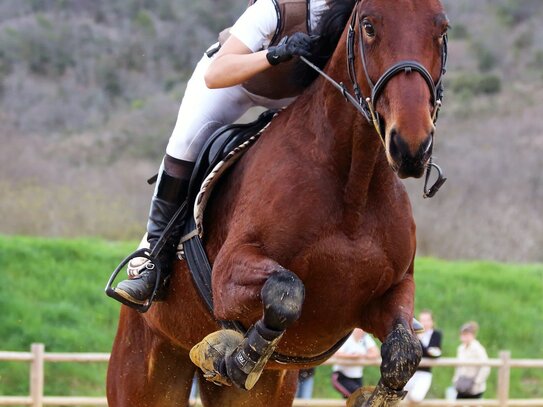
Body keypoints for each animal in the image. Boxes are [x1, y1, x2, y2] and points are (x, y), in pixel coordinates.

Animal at [106, 0, 450, 406]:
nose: (411, 146)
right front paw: (234, 357)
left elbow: (404, 350)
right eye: (368, 26)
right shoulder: (229, 275)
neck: (354, 184)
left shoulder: (391, 293)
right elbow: (287, 291)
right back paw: (146, 279)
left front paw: (375, 396)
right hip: (144, 370)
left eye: (442, 29)